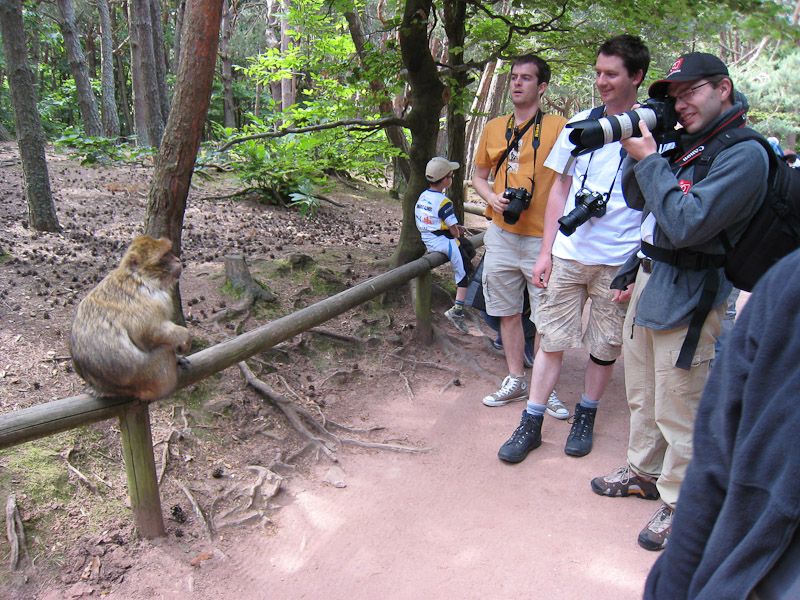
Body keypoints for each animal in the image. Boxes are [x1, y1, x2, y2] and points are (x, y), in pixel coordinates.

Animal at [69, 237, 191, 400]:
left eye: (169, 252)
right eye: (165, 256)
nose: (178, 260)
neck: (138, 276)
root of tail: (103, 388)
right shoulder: (153, 298)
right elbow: (149, 333)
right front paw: (185, 340)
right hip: (154, 376)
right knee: (164, 350)